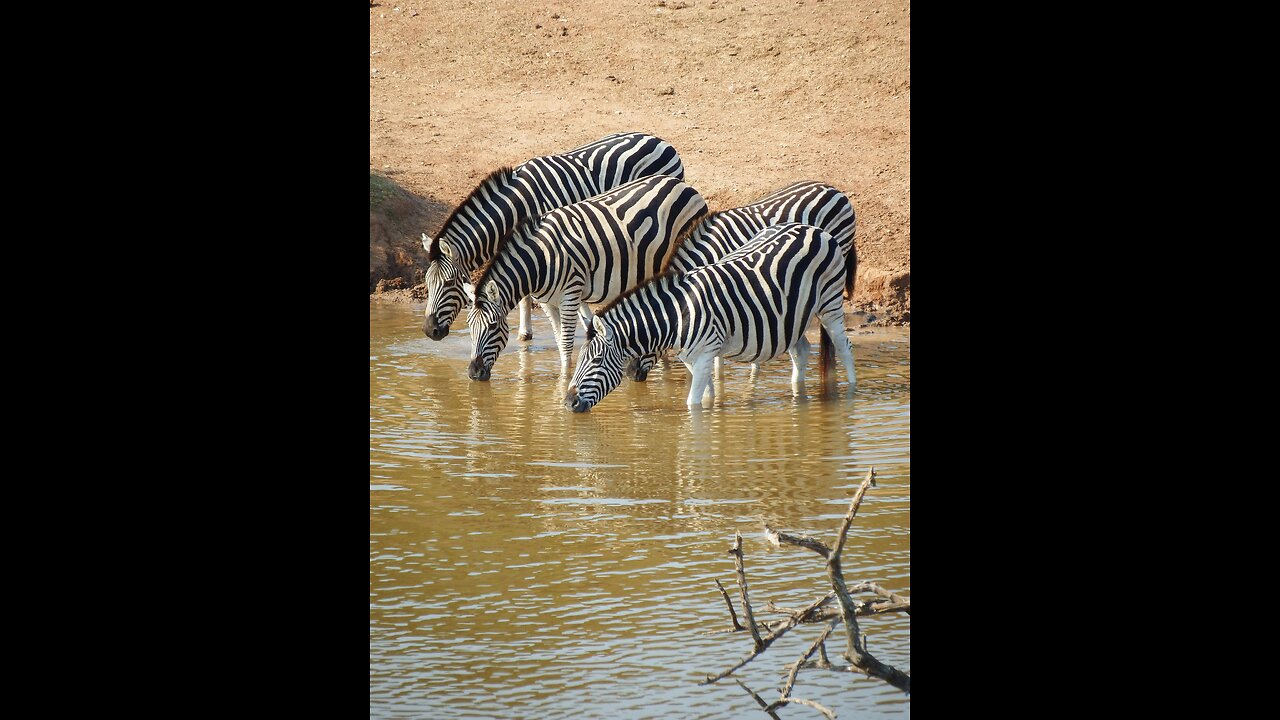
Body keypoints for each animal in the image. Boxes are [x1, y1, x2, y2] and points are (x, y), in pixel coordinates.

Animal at [419, 131, 686, 340]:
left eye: (449, 283)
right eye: (427, 283)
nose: (430, 331)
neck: (515, 207)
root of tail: (660, 140)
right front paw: (526, 333)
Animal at [468, 172, 711, 381]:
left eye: (492, 327)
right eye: (469, 327)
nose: (473, 373)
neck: (540, 260)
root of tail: (683, 185)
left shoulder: (570, 294)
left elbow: (566, 343)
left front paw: (564, 380)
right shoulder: (547, 302)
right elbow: (559, 341)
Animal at [563, 220, 855, 409]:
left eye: (597, 360)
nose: (567, 402)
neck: (677, 315)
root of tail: (814, 229)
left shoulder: (705, 355)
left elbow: (692, 404)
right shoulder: (693, 359)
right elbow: (706, 398)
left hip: (830, 303)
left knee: (844, 348)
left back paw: (851, 393)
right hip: (791, 318)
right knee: (801, 351)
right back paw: (798, 395)